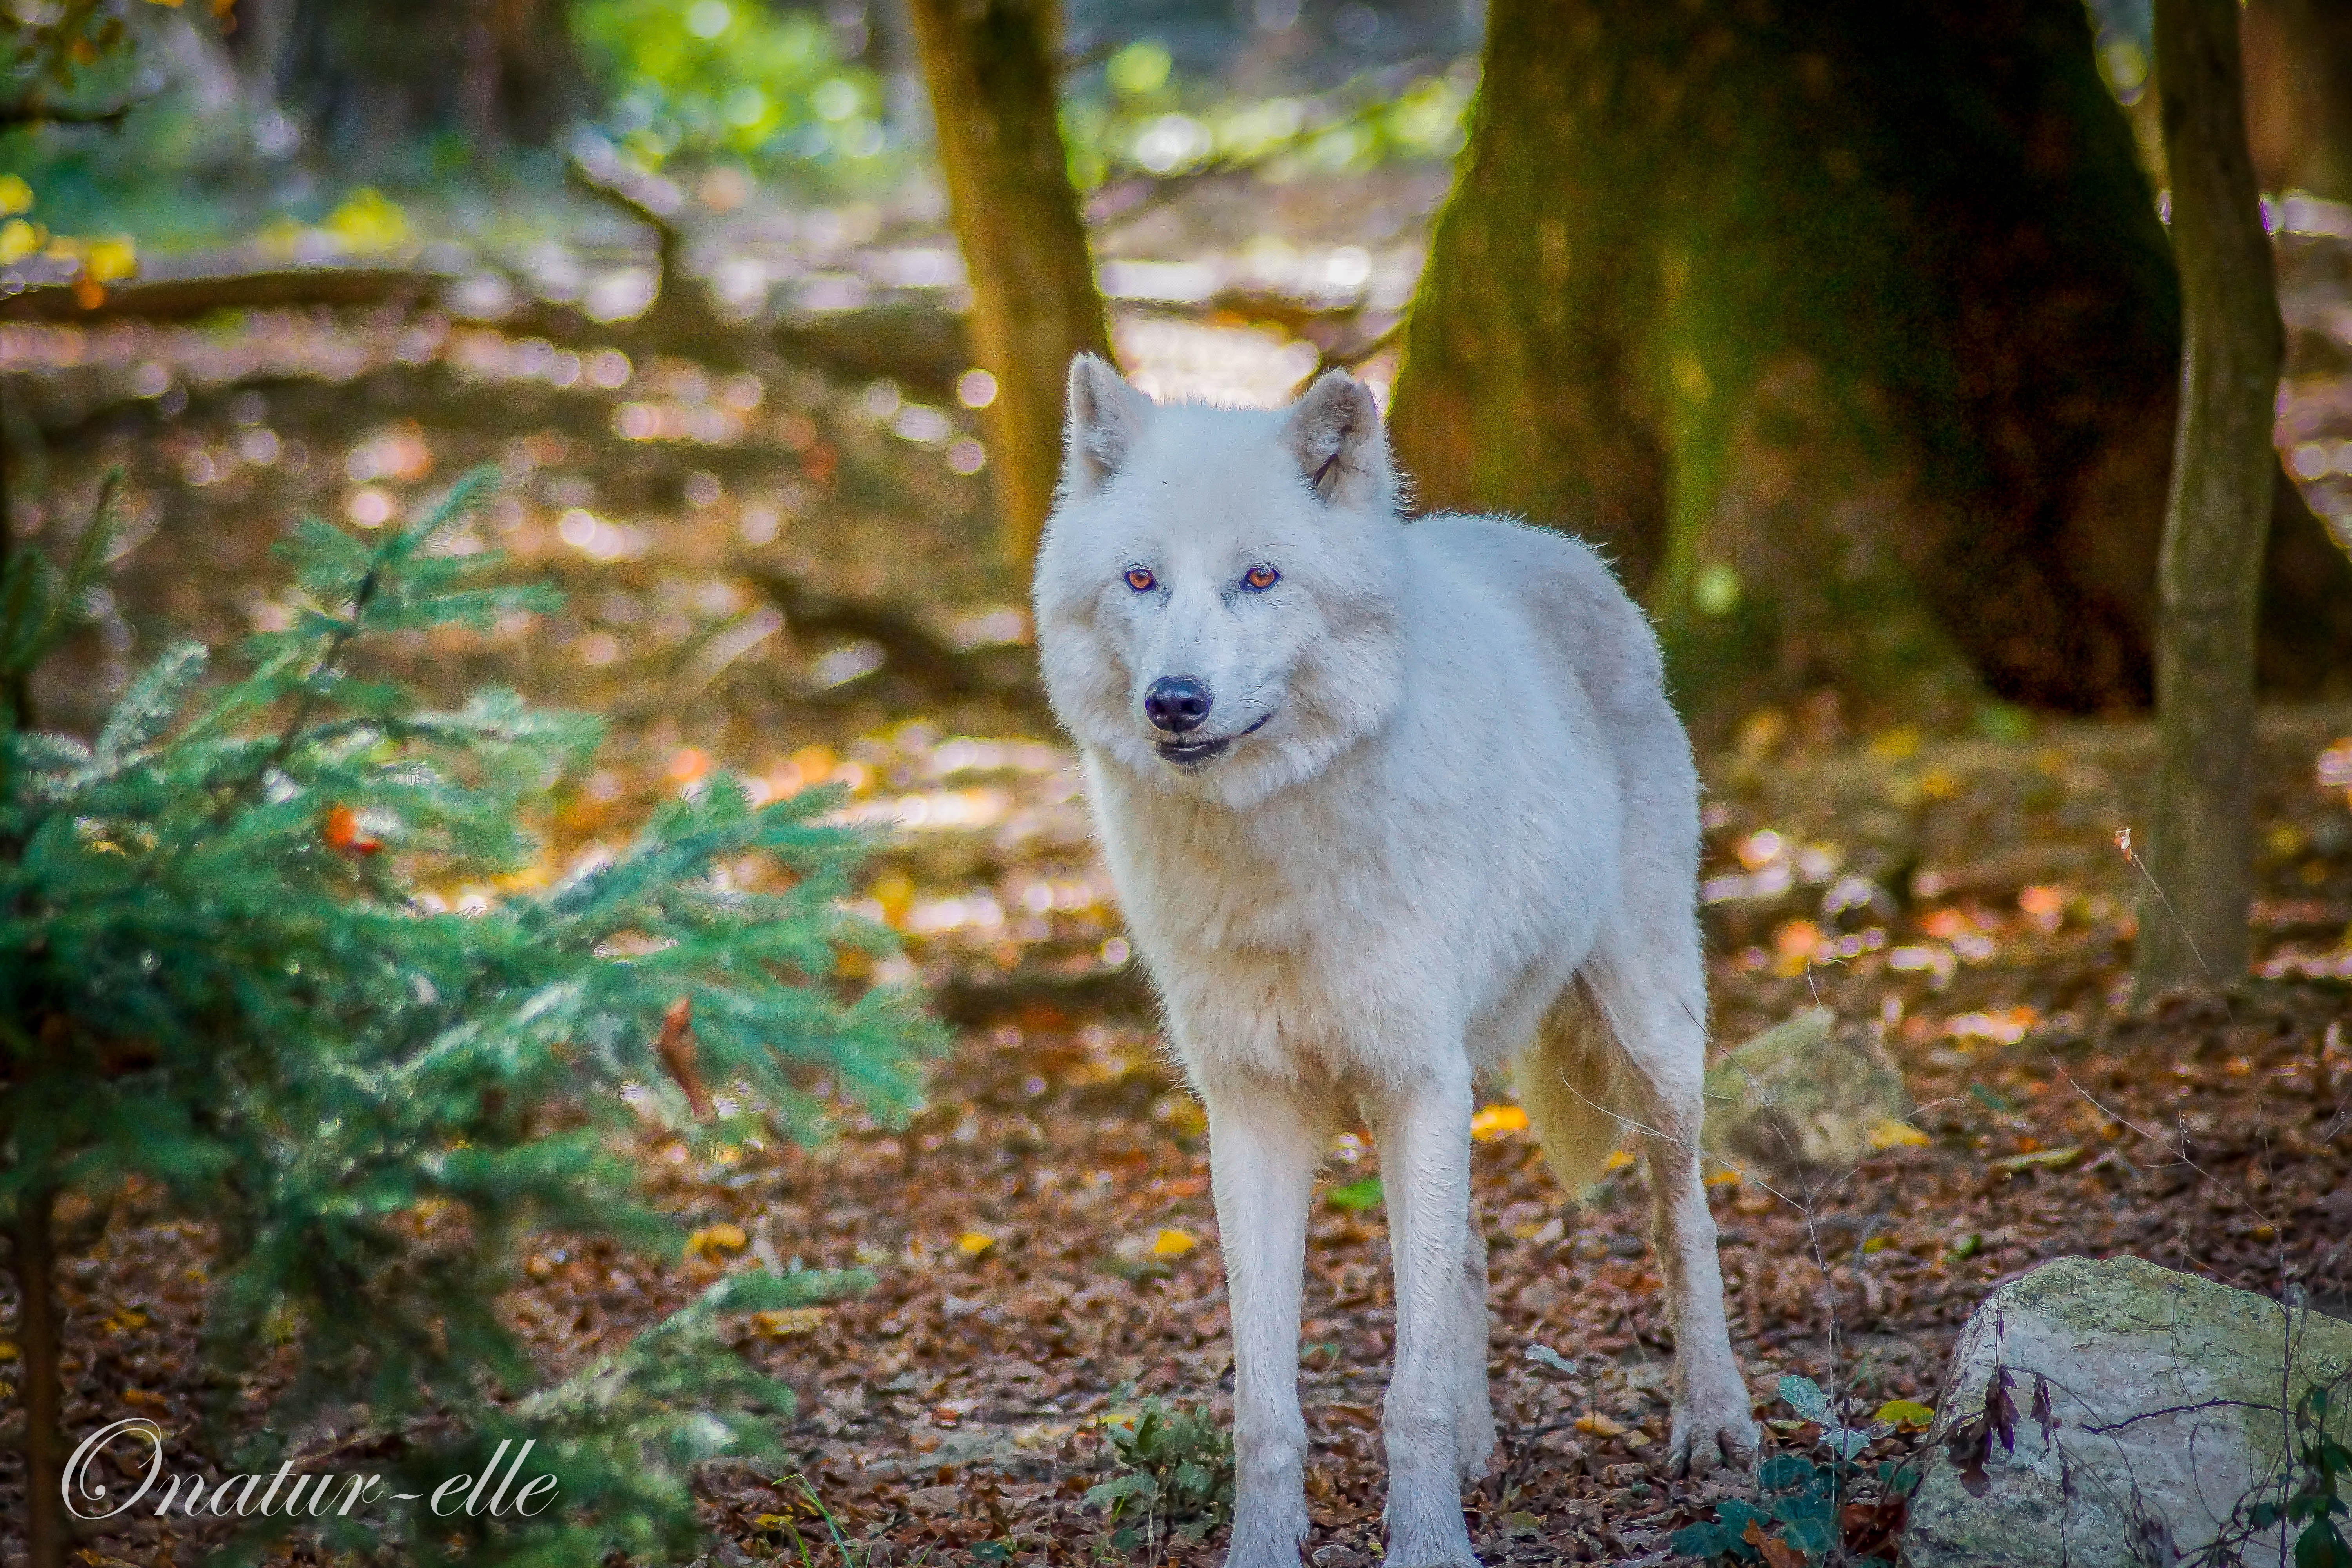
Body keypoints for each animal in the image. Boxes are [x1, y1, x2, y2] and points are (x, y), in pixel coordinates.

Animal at [1035, 359, 1769, 1568]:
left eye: (1260, 578)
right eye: (1141, 579)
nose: (1175, 701)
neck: (1271, 860)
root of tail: (1560, 548)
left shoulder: (1416, 1083)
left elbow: (1406, 1392)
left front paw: (1427, 1544)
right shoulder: (1254, 1110)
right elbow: (1266, 1403)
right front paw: (1269, 1548)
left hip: (1648, 1037)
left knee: (1683, 1219)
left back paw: (1713, 1424)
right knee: (1467, 1255)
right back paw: (1480, 1453)